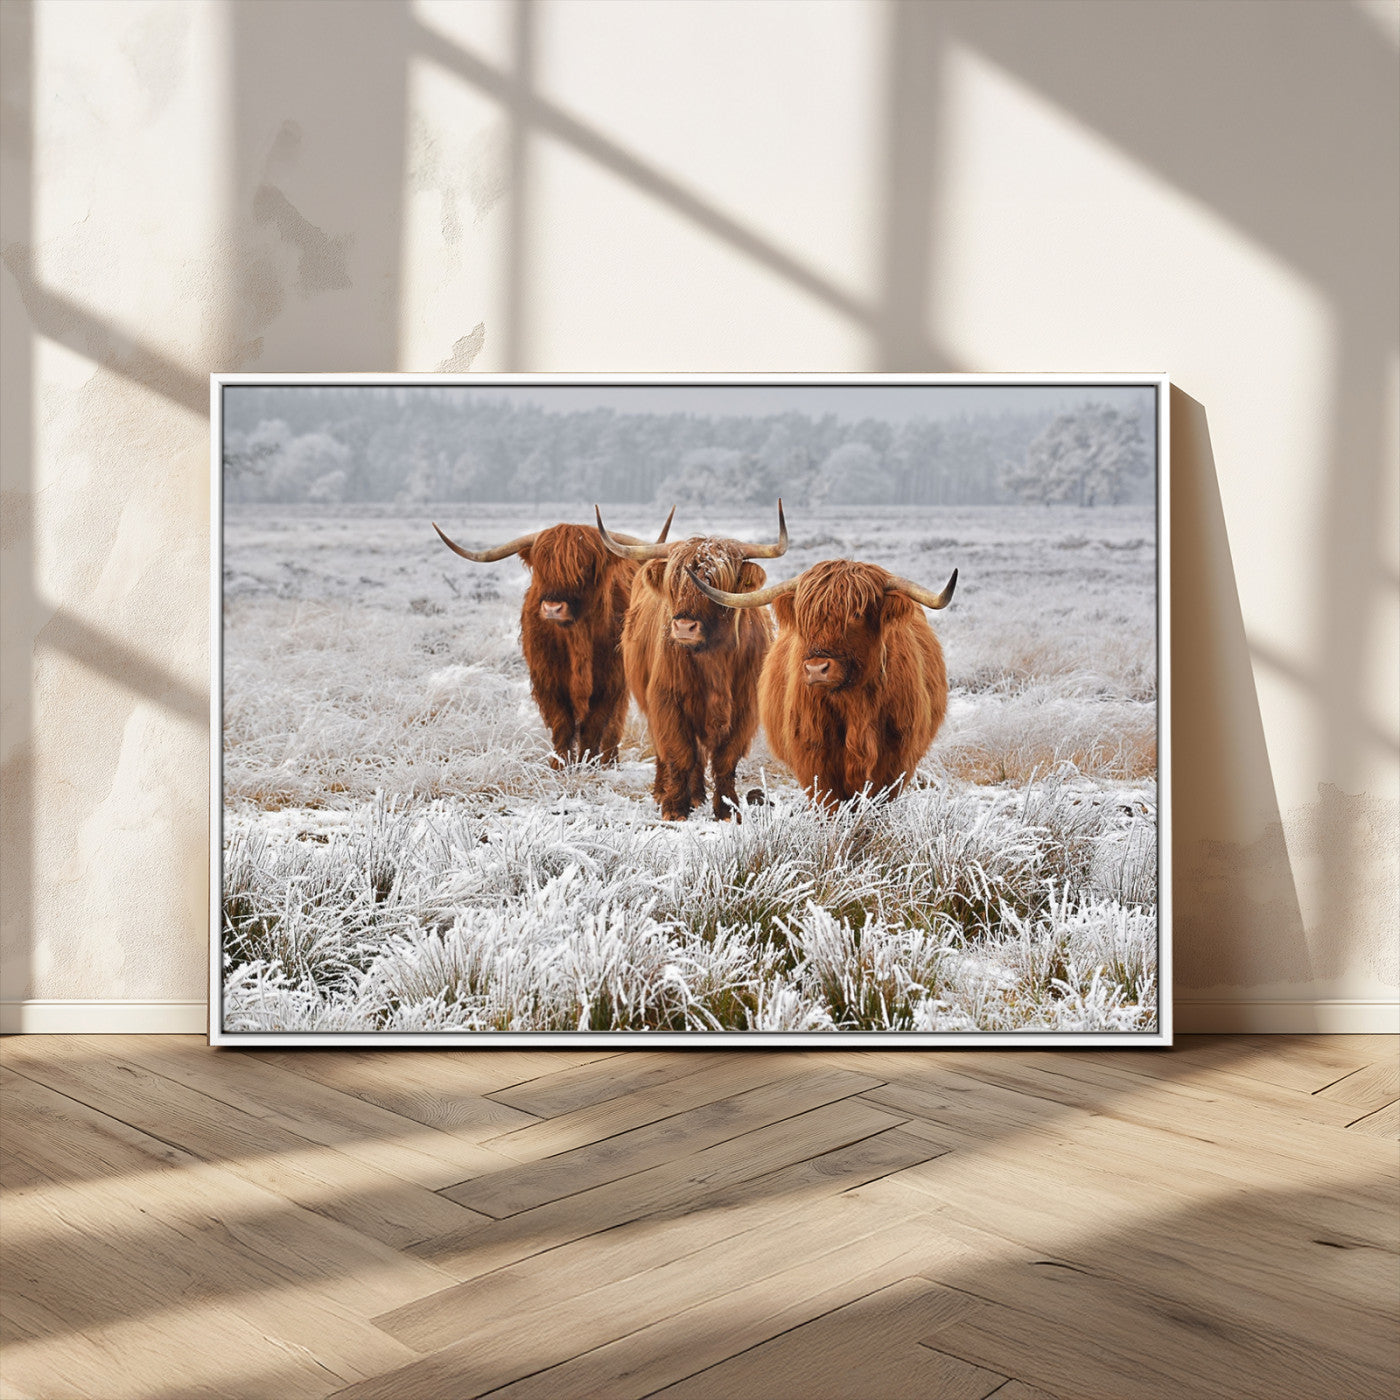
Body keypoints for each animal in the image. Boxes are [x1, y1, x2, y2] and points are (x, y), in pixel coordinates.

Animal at [433, 509, 674, 767]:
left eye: (584, 567)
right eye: (541, 568)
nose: (552, 608)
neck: (577, 638)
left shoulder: (610, 681)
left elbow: (594, 726)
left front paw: (588, 764)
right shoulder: (548, 680)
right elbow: (562, 724)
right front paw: (560, 766)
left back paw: (610, 761)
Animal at [595, 502, 789, 822]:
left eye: (715, 582)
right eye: (674, 582)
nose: (684, 626)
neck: (714, 660)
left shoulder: (745, 708)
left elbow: (725, 760)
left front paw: (728, 808)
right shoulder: (667, 701)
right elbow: (679, 753)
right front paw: (674, 808)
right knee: (671, 752)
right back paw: (666, 792)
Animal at [687, 558, 957, 808]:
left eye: (856, 614)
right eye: (805, 616)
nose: (816, 669)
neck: (855, 705)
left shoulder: (896, 759)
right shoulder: (814, 759)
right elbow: (830, 805)